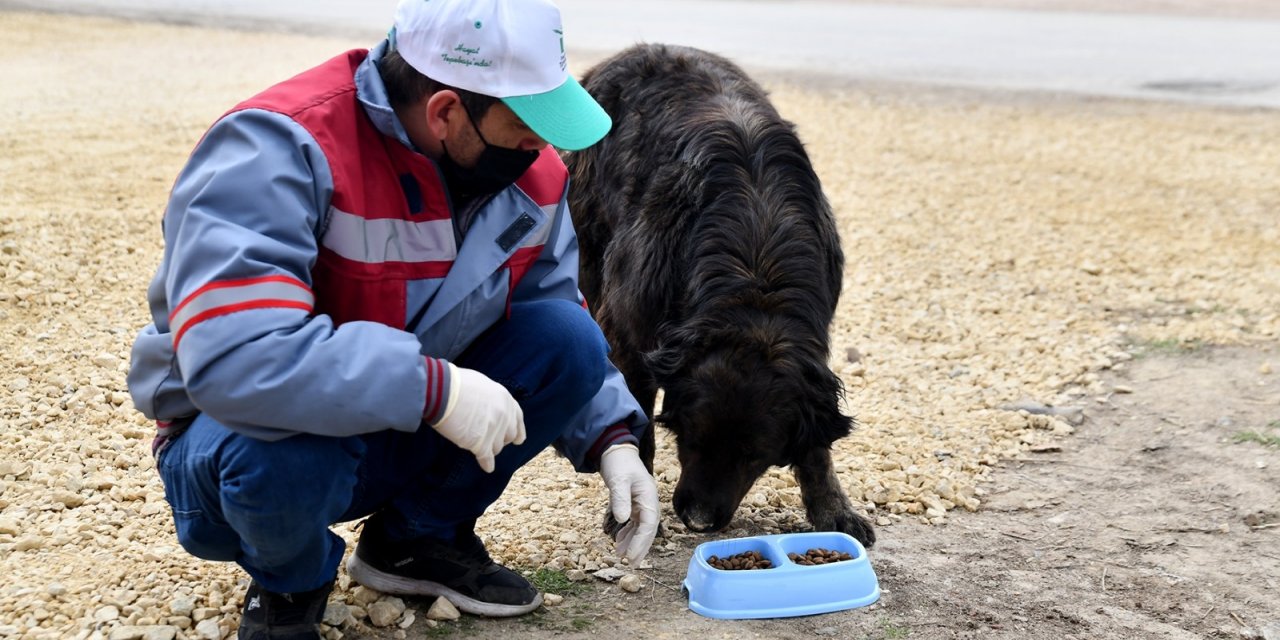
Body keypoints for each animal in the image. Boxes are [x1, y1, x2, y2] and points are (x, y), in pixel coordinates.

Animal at [565, 43, 875, 545]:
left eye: (755, 454)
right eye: (692, 438)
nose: (698, 520)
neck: (754, 277)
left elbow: (817, 447)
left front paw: (833, 509)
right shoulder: (632, 338)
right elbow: (640, 428)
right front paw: (634, 509)